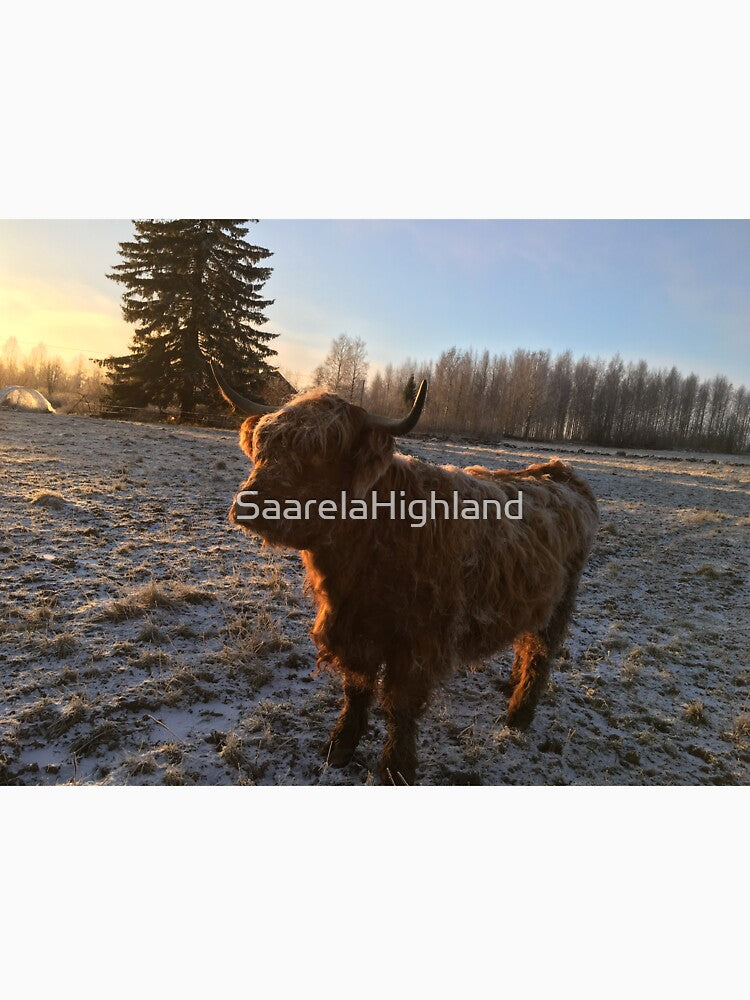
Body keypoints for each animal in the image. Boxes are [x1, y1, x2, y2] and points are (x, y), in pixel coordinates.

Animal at [212, 364, 599, 784]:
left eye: (322, 452)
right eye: (264, 446)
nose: (249, 503)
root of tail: (558, 471)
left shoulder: (417, 645)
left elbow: (400, 708)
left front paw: (396, 768)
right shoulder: (353, 631)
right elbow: (356, 690)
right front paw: (341, 745)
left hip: (561, 600)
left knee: (541, 653)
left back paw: (518, 715)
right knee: (525, 643)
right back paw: (510, 686)